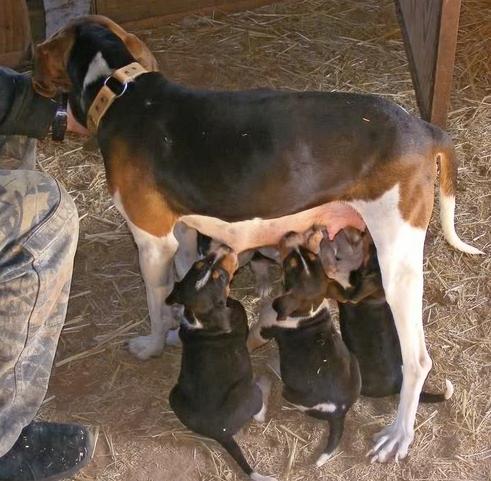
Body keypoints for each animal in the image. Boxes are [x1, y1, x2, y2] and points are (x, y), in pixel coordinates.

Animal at [166, 246, 276, 480]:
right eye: (223, 277)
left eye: (199, 264)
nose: (226, 248)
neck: (201, 318)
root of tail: (220, 433)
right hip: (249, 391)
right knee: (259, 412)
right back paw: (265, 383)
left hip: (174, 395)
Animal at [250, 232, 362, 464]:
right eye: (312, 255)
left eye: (289, 264)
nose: (289, 233)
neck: (309, 310)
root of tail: (340, 411)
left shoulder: (261, 331)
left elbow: (249, 340)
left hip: (290, 392)